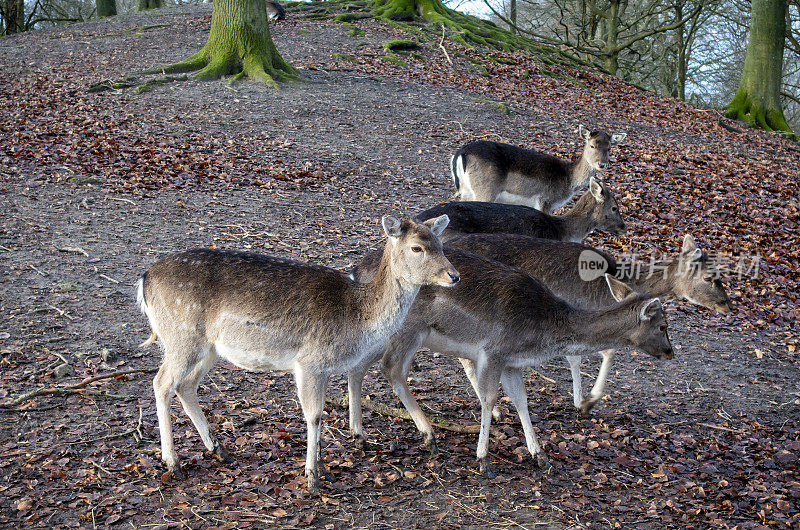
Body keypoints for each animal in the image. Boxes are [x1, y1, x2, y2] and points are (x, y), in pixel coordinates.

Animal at [137, 212, 456, 488]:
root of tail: (145, 278)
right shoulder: (310, 361)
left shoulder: (324, 368)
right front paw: (312, 477)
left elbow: (321, 411)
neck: (358, 315)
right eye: (416, 247)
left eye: (441, 244)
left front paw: (322, 469)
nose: (454, 275)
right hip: (181, 336)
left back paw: (219, 450)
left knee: (185, 385)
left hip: (209, 347)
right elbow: (313, 415)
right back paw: (173, 463)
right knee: (161, 382)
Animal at [346, 248, 672, 474]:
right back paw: (428, 434)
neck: (540, 335)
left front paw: (540, 456)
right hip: (408, 328)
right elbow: (489, 398)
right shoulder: (495, 351)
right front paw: (483, 459)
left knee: (359, 366)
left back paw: (359, 435)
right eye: (663, 326)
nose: (670, 352)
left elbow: (521, 401)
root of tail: (356, 272)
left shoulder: (512, 363)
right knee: (391, 368)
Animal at [446, 233, 736, 414]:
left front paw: (582, 399)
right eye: (710, 277)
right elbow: (594, 354)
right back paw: (493, 409)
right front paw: (585, 402)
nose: (728, 304)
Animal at [454, 124, 628, 212]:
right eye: (592, 145)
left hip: (466, 190)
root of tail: (461, 153)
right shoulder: (545, 201)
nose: (602, 164)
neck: (568, 180)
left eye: (610, 148)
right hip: (486, 190)